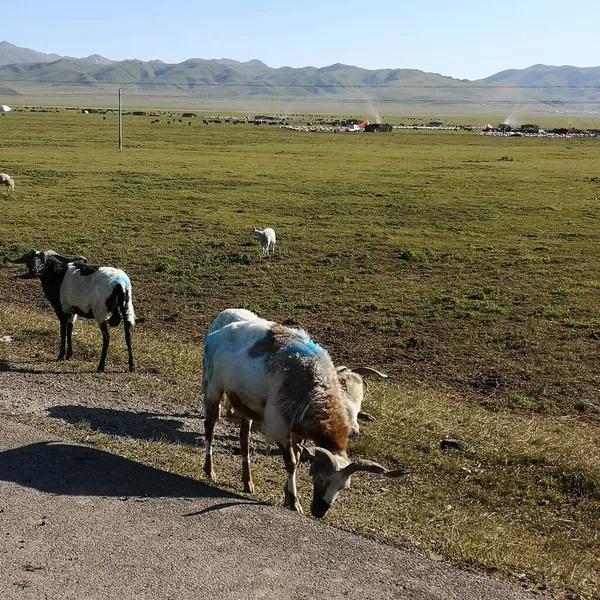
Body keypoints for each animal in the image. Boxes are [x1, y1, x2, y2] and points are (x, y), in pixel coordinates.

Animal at [4, 247, 136, 370]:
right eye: (29, 260)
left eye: (44, 260)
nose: (33, 270)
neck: (57, 275)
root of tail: (120, 284)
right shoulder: (73, 310)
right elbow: (70, 330)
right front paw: (69, 355)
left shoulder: (62, 309)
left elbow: (63, 331)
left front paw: (61, 356)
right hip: (127, 308)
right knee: (128, 336)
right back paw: (131, 366)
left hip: (101, 311)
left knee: (107, 337)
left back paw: (101, 366)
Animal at [203, 318, 404, 516]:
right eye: (320, 479)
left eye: (343, 487)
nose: (319, 512)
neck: (316, 389)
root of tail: (217, 333)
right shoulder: (279, 425)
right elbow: (291, 462)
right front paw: (294, 503)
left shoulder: (299, 429)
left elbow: (298, 459)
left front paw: (287, 496)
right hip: (212, 385)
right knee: (209, 428)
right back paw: (209, 471)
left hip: (245, 401)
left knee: (244, 439)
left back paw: (247, 483)